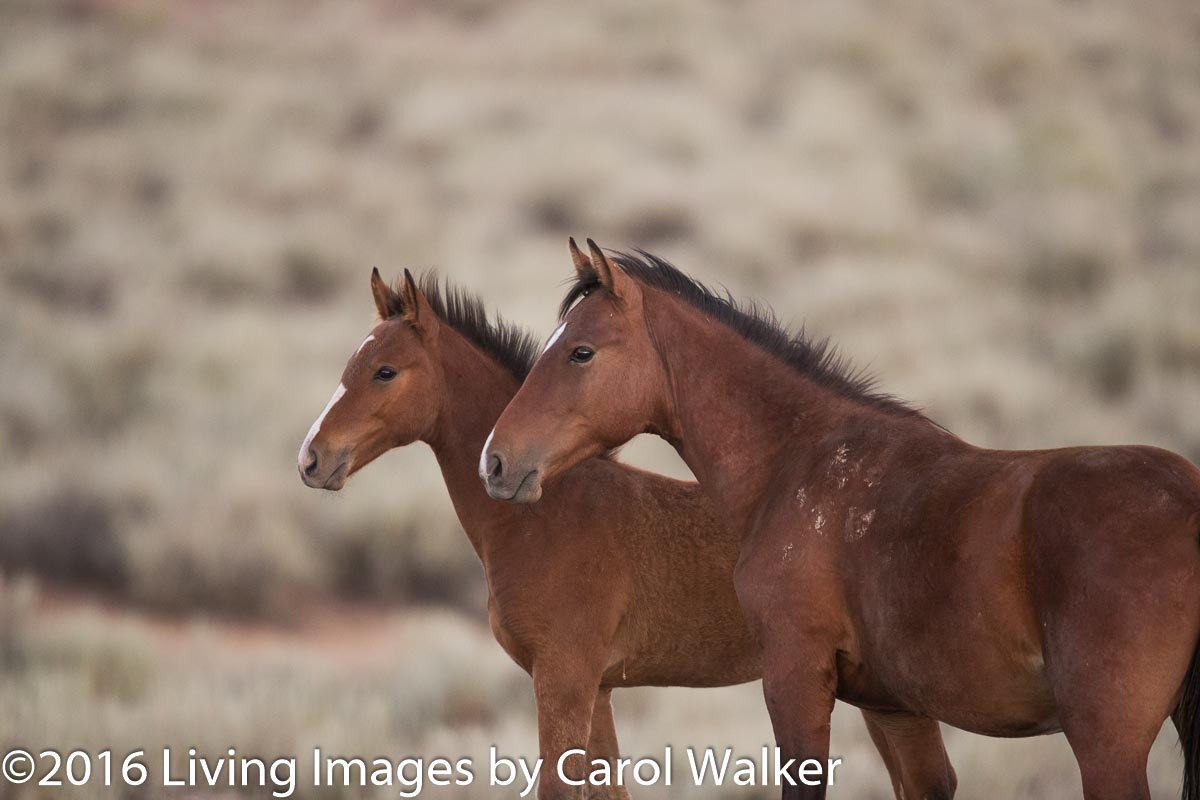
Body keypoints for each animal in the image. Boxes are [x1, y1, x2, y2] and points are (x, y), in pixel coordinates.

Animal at [297, 271, 955, 800]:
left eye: (385, 372)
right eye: (349, 367)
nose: (312, 459)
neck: (550, 516)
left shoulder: (563, 676)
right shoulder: (599, 690)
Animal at [480, 242, 1200, 800]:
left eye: (580, 352)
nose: (496, 460)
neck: (798, 460)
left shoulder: (795, 678)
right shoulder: (895, 708)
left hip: (1107, 747)